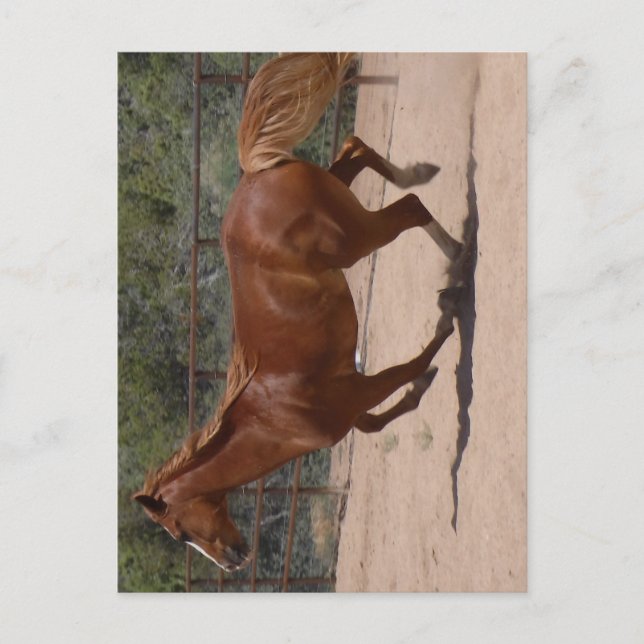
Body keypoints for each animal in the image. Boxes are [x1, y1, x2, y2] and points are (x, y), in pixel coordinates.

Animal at [133, 53, 462, 572]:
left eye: (179, 531)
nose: (232, 561)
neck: (272, 416)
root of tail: (255, 172)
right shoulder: (353, 400)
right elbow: (378, 419)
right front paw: (421, 385)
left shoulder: (356, 392)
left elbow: (408, 369)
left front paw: (446, 320)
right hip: (340, 196)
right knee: (357, 150)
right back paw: (417, 172)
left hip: (356, 238)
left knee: (409, 208)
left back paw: (455, 250)